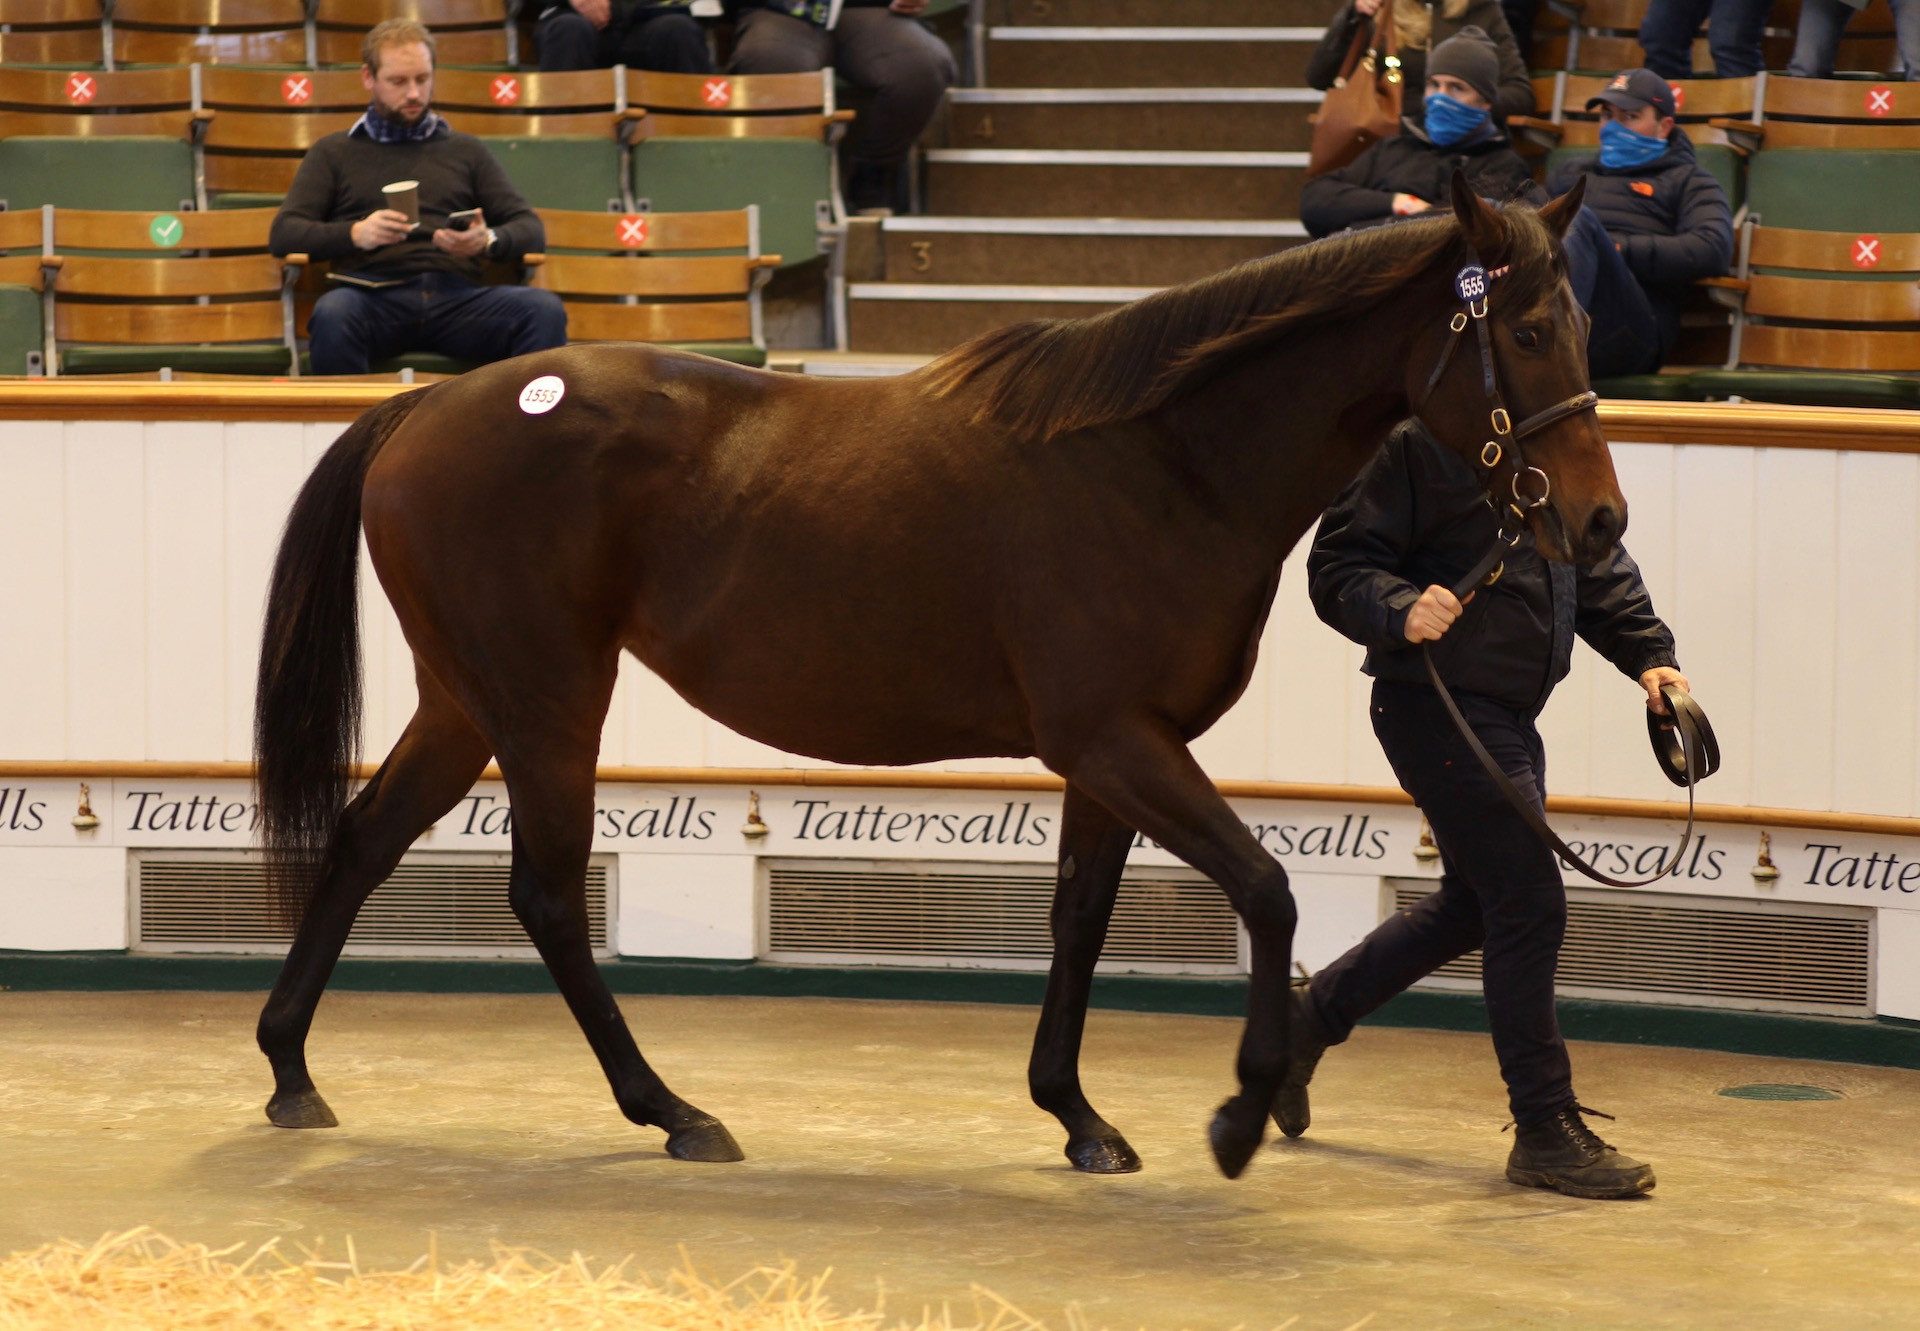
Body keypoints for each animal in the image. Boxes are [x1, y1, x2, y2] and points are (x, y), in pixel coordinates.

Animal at [252, 174, 1615, 1180]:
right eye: (1527, 332)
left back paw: (291, 1070)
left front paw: (1079, 1115)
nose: (1597, 523)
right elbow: (1268, 889)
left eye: (1583, 328)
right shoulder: (1116, 739)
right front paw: (1239, 1112)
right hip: (545, 699)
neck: (1160, 464)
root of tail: (424, 408)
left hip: (466, 699)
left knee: (365, 839)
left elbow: (1080, 918)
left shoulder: (1111, 757)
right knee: (540, 893)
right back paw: (673, 1109)